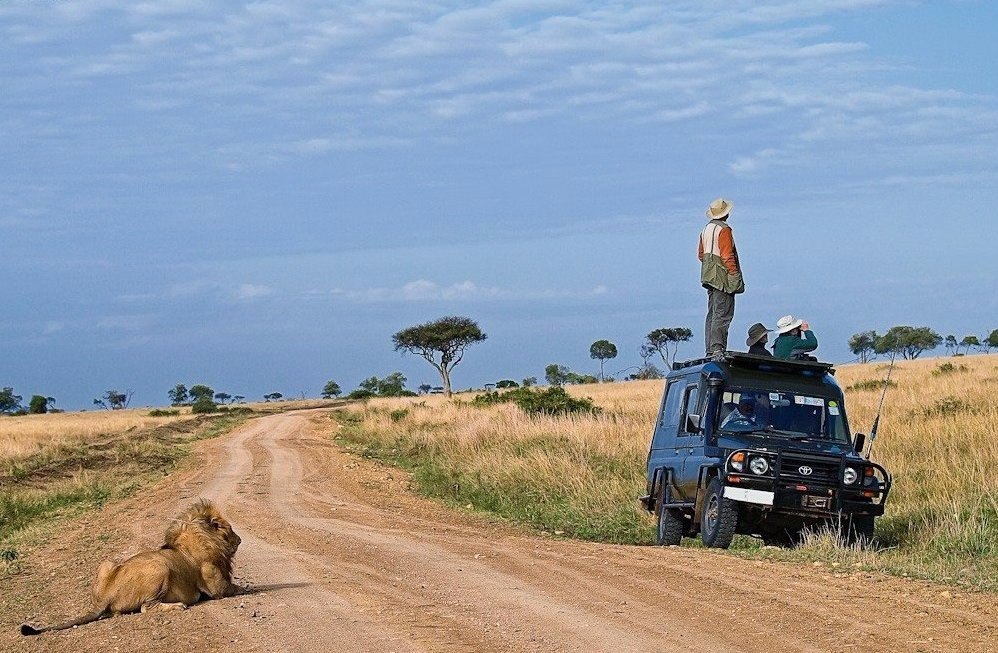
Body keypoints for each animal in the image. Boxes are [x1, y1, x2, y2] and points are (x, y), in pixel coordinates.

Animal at [20, 500, 243, 632]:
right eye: (230, 530)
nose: (240, 540)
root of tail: (107, 595)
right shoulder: (216, 587)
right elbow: (237, 588)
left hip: (107, 563)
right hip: (159, 567)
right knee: (146, 607)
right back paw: (178, 605)